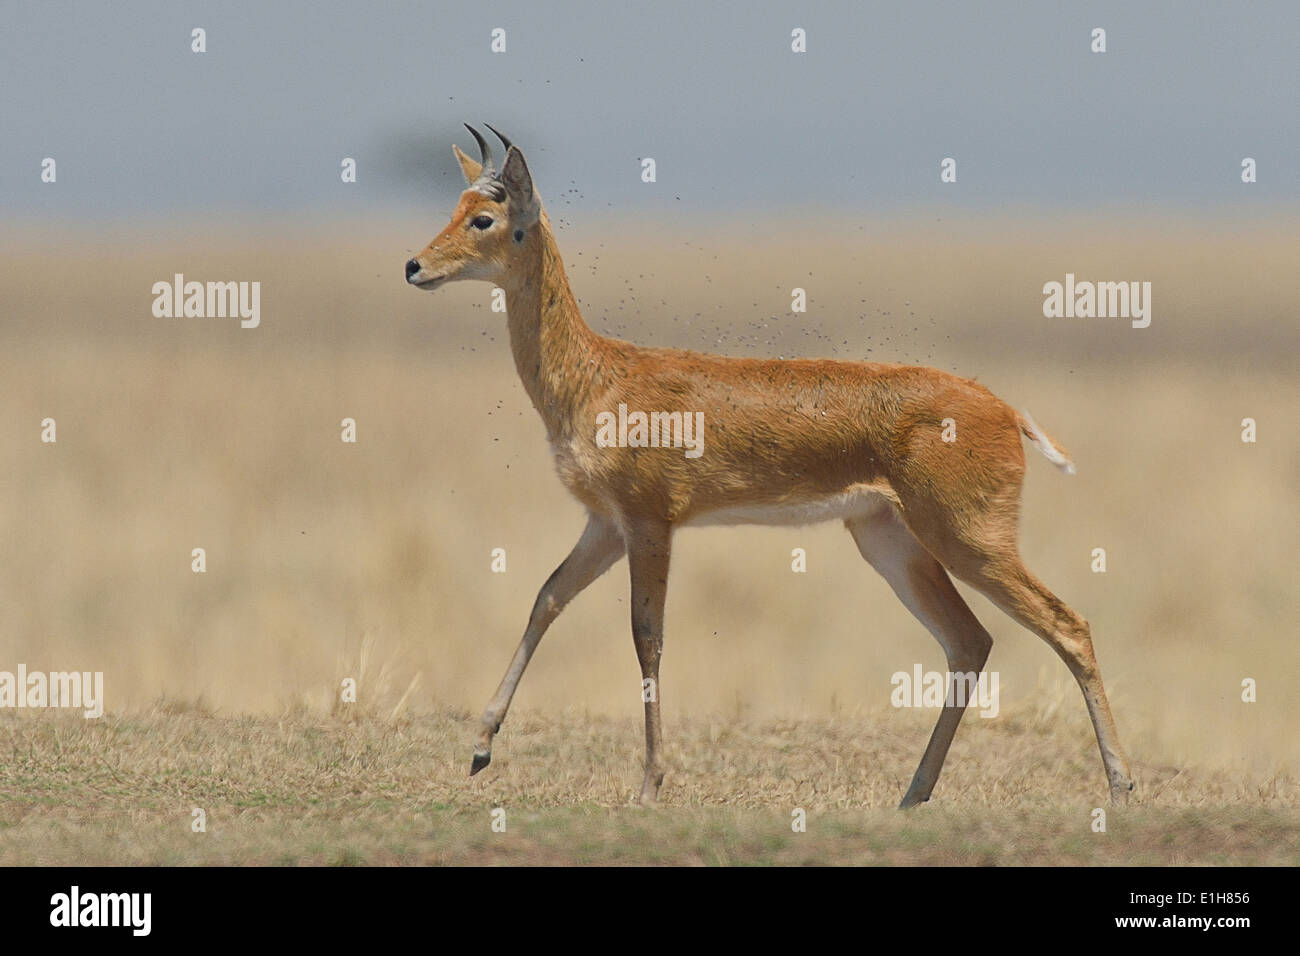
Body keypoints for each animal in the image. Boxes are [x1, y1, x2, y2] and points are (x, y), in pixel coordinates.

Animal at [400, 125, 1133, 806]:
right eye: (457, 204)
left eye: (485, 217)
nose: (414, 266)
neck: (598, 375)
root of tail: (1005, 408)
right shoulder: (604, 525)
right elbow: (547, 598)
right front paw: (480, 748)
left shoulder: (649, 522)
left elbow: (646, 638)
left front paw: (649, 786)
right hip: (889, 539)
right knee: (968, 641)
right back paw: (913, 794)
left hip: (968, 539)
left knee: (1068, 625)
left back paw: (1120, 786)